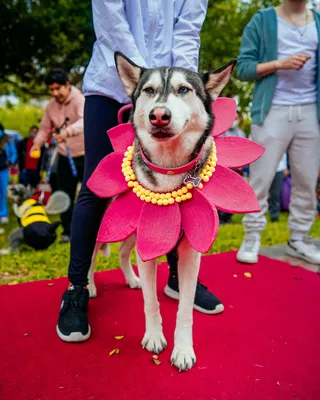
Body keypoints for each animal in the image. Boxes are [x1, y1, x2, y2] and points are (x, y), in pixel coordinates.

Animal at [87, 54, 235, 372]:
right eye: (149, 90)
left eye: (184, 90)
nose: (158, 115)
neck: (169, 168)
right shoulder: (150, 242)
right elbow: (150, 302)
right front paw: (154, 337)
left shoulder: (189, 251)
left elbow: (185, 310)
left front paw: (183, 349)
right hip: (104, 220)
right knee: (91, 254)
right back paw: (89, 286)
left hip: (133, 227)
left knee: (123, 252)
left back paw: (131, 279)